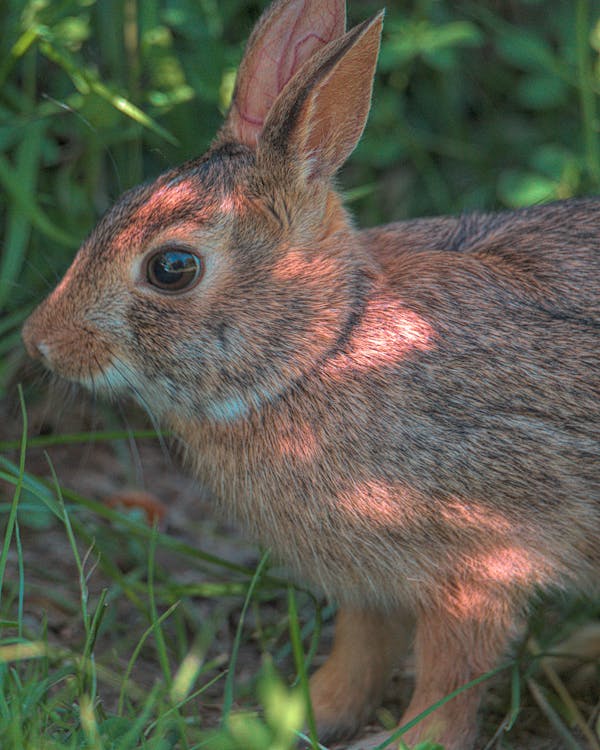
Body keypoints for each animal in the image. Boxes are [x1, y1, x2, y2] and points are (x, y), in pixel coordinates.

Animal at [22, 0, 600, 748]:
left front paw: (405, 742)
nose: (40, 342)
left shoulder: (478, 569)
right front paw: (293, 714)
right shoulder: (371, 582)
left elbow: (452, 677)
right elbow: (358, 653)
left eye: (172, 268)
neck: (323, 348)